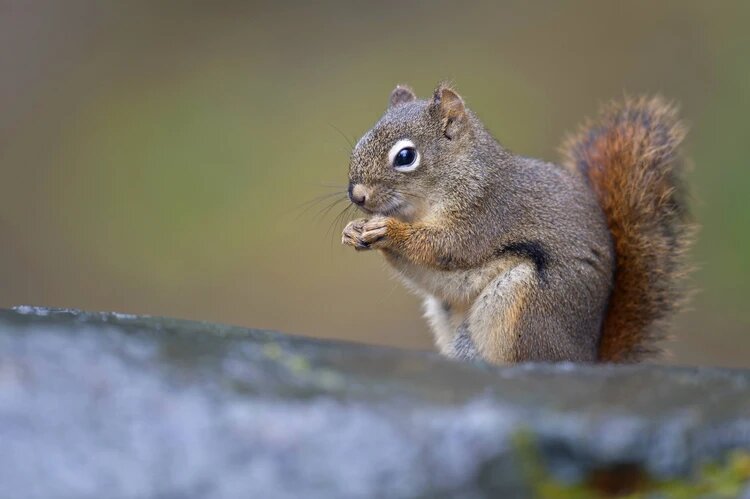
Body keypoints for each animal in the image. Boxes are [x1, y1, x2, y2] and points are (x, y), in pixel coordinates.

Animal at [340, 83, 692, 364]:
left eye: (405, 156)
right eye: (359, 143)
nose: (357, 195)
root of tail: (584, 358)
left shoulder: (486, 214)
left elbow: (446, 248)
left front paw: (388, 230)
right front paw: (355, 231)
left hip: (522, 307)